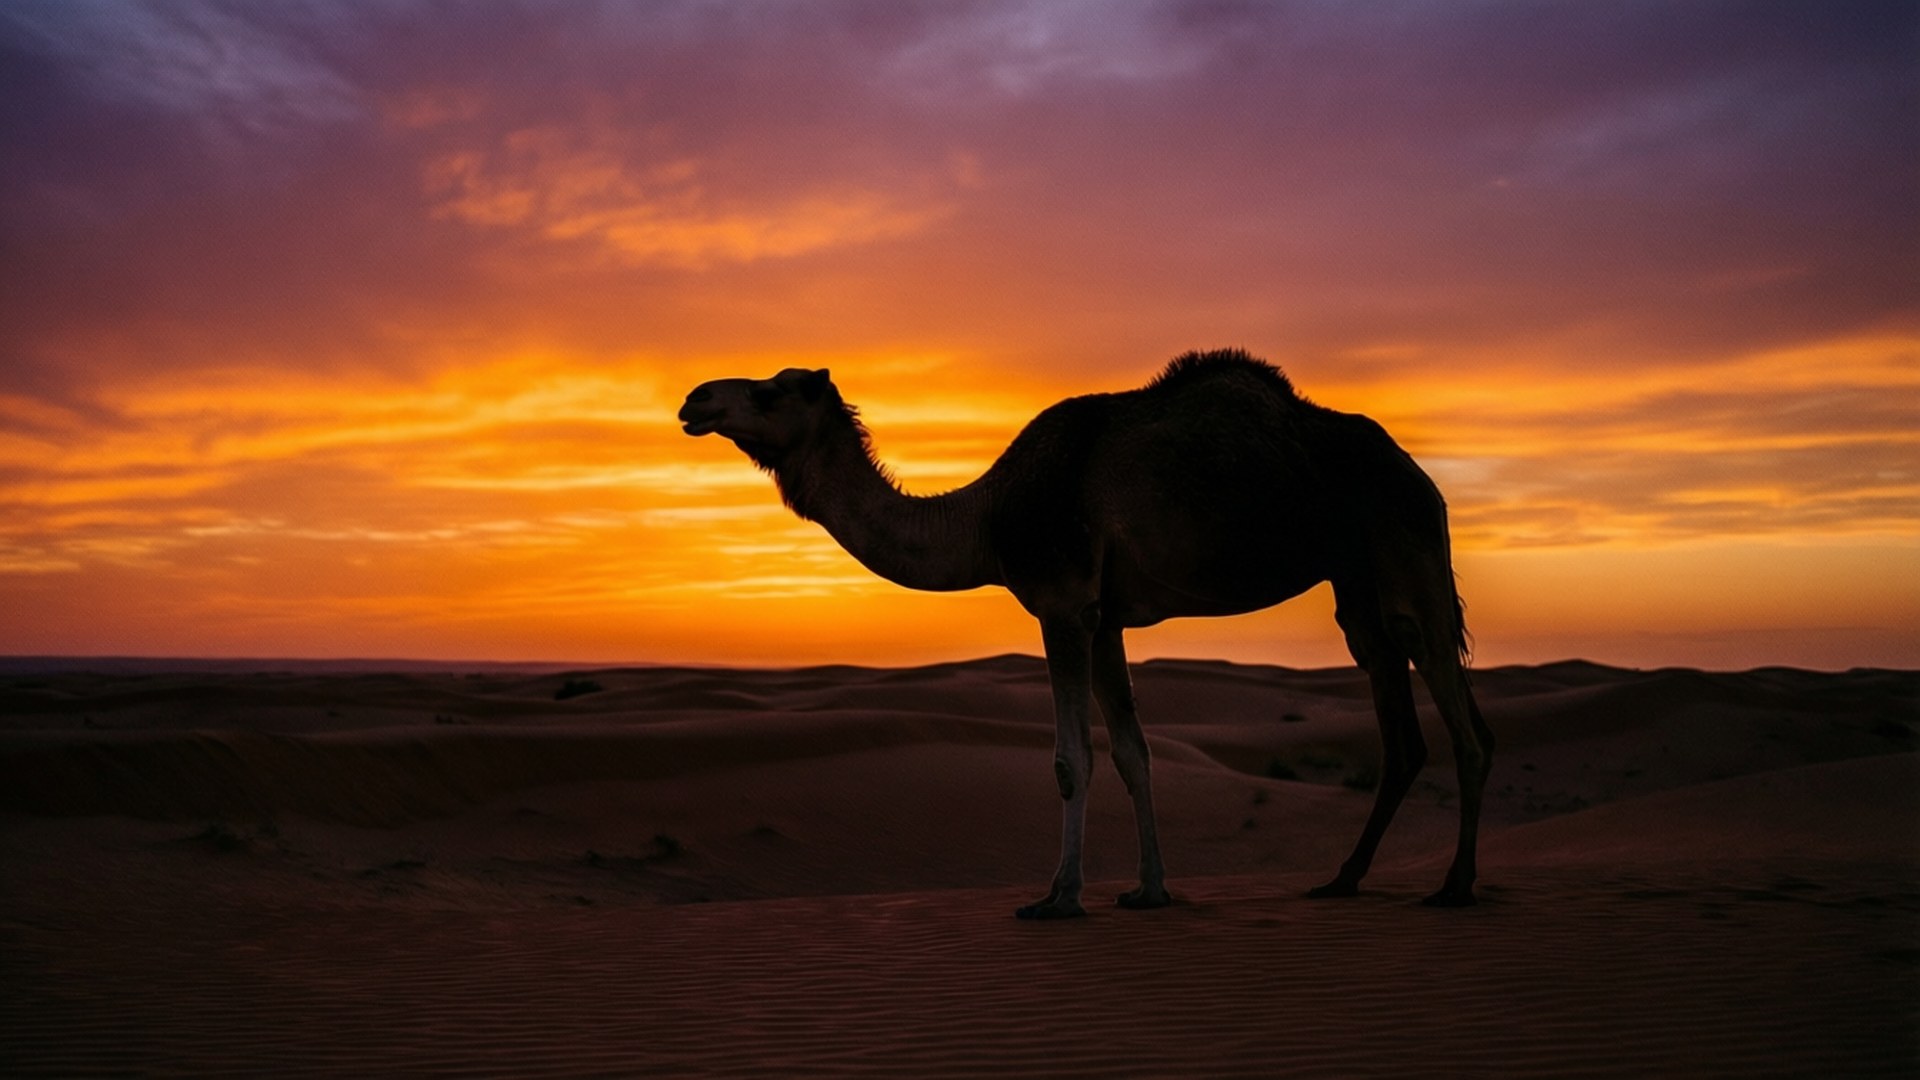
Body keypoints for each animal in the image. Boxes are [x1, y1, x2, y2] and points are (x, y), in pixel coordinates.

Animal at [678, 349, 1493, 918]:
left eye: (771, 389)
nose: (693, 397)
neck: (985, 517)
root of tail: (1420, 473)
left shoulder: (1062, 603)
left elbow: (1072, 760)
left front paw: (1059, 898)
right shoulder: (1104, 620)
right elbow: (1133, 753)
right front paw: (1149, 890)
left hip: (1407, 543)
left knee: (1459, 717)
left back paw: (1455, 886)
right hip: (1354, 581)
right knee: (1399, 717)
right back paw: (1342, 880)